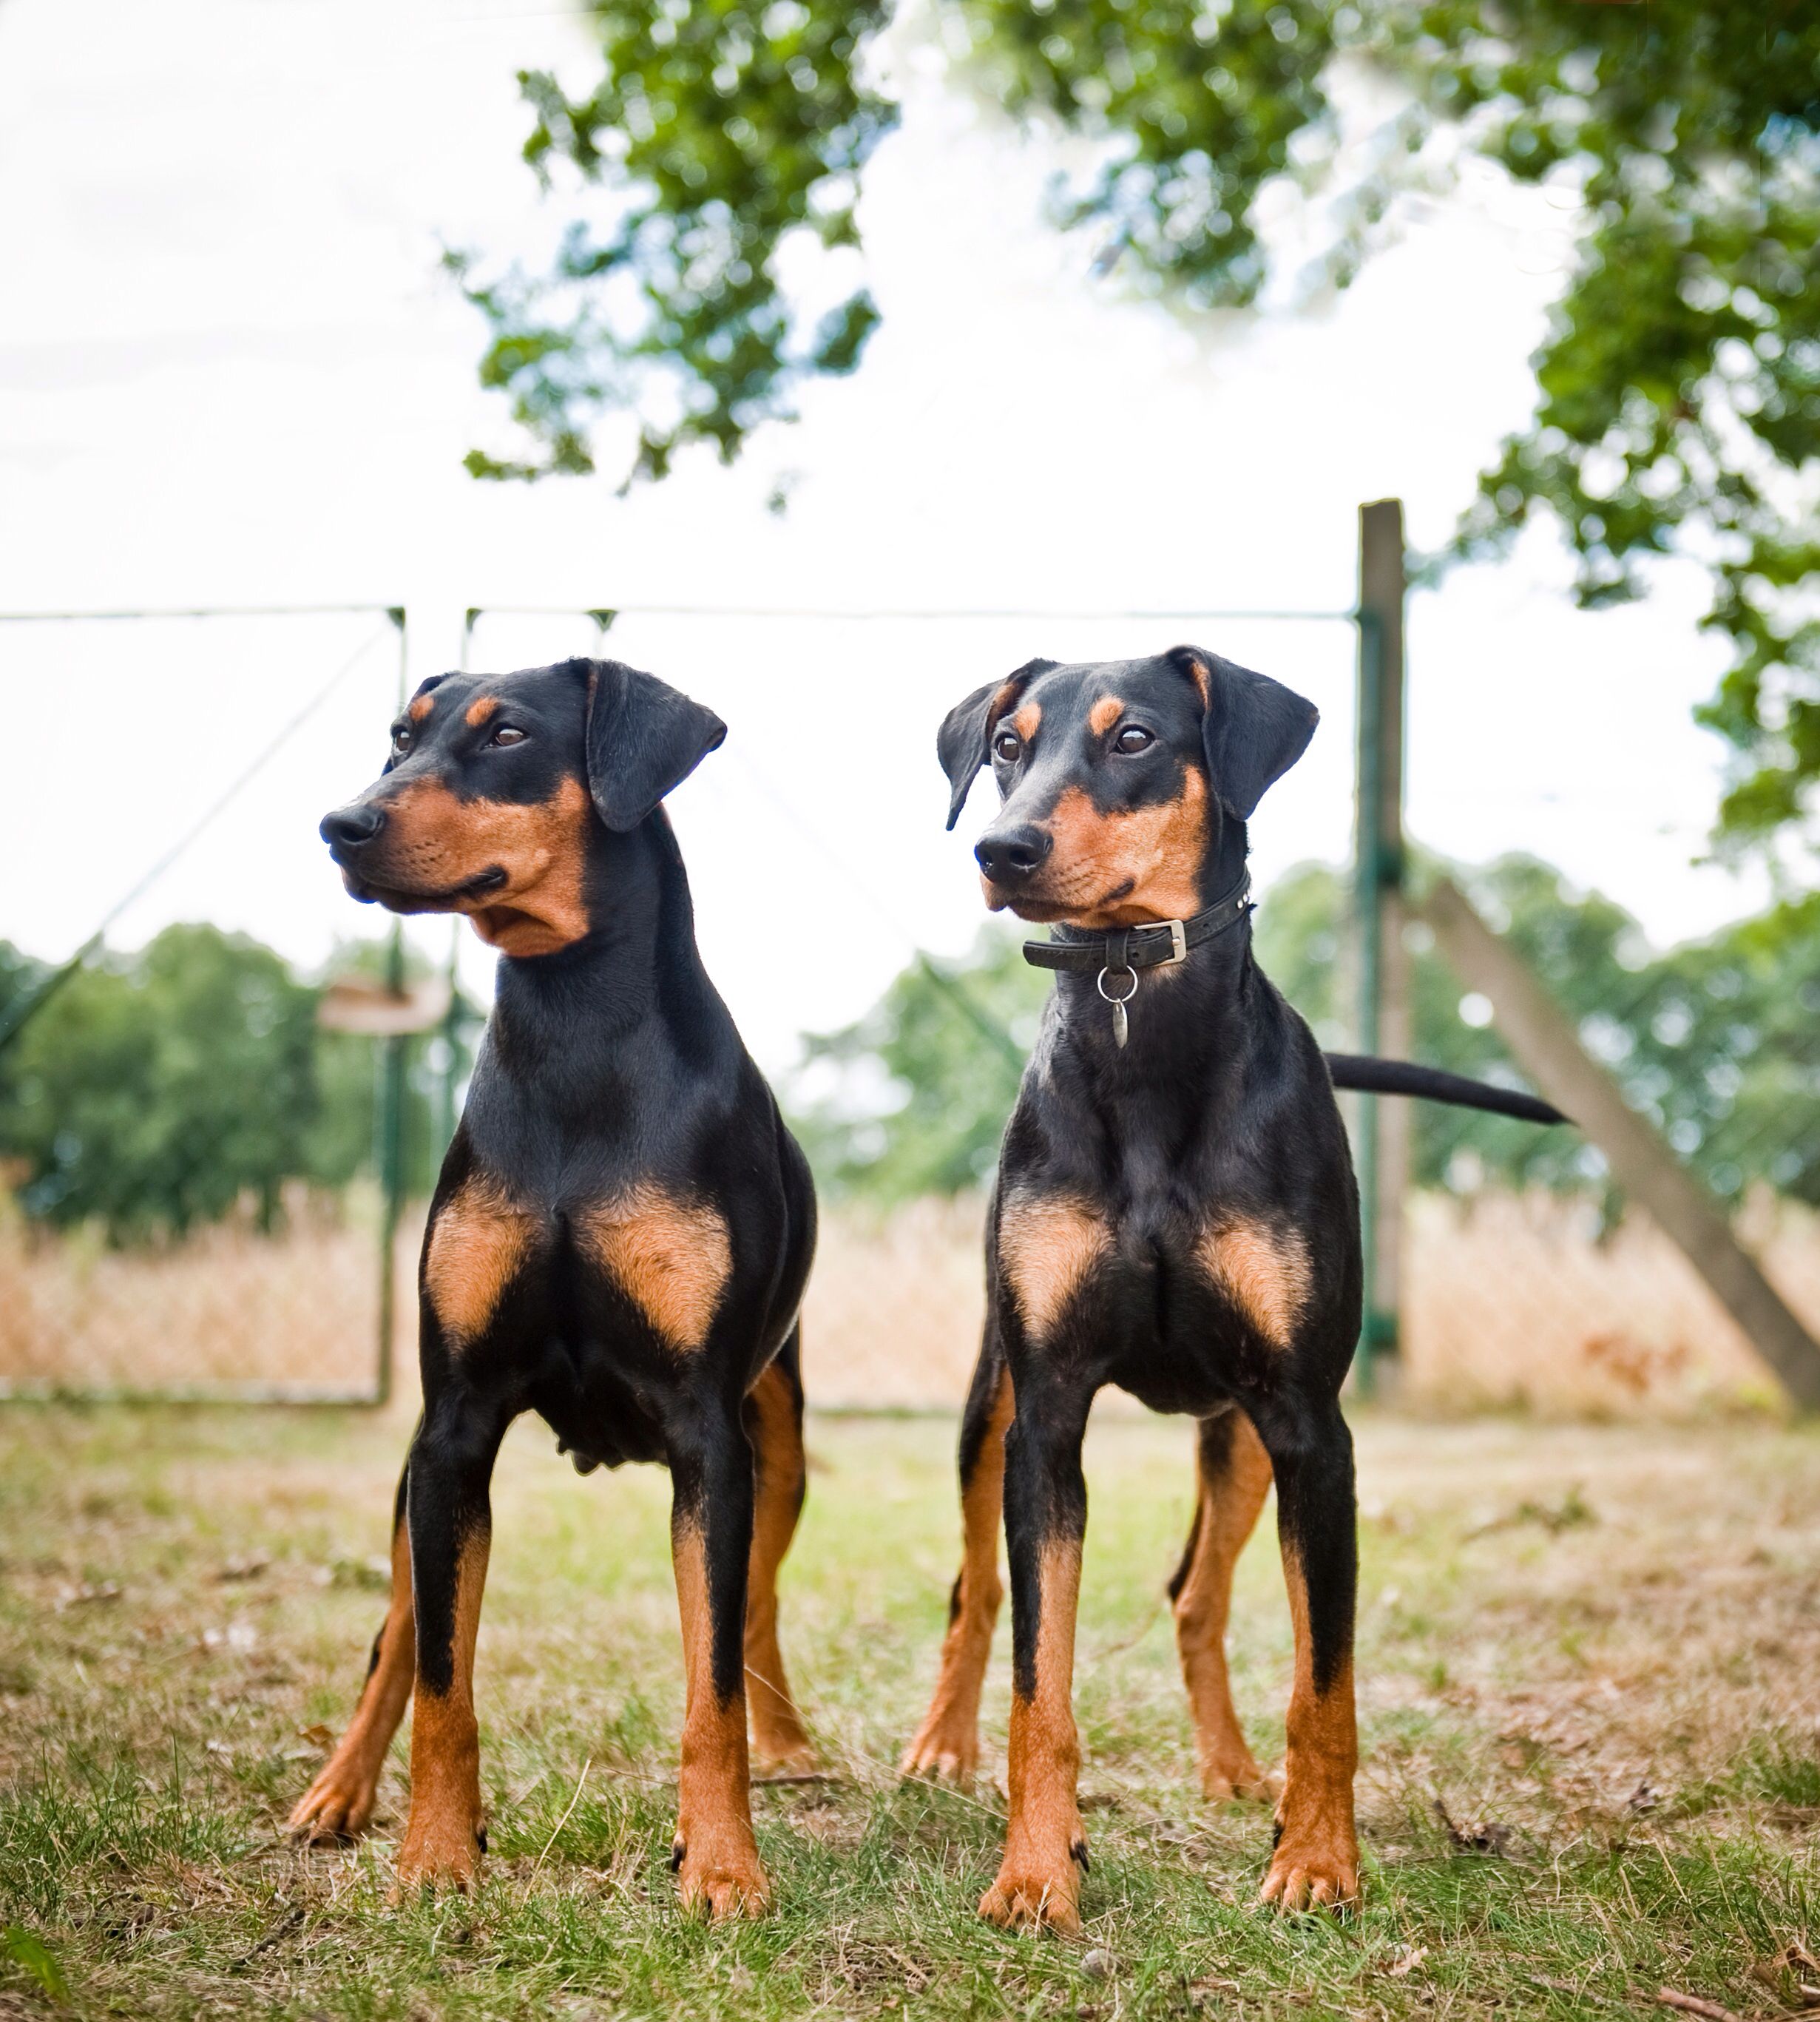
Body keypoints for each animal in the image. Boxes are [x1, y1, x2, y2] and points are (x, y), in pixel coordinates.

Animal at [297, 659, 816, 1908]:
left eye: (508, 735)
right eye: (400, 737)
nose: (342, 824)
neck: (575, 1034)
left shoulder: (708, 1434)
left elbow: (711, 1676)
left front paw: (722, 1865)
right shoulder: (454, 1421)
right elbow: (440, 1671)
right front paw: (435, 1855)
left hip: (779, 1442)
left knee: (756, 1612)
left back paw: (786, 1743)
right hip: (418, 1477)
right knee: (396, 1633)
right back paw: (337, 1791)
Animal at [901, 643, 1553, 1924]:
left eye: (1136, 738)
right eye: (1006, 745)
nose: (1000, 850)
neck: (1136, 1017)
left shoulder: (1309, 1425)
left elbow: (1325, 1683)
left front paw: (1316, 1861)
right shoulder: (1048, 1414)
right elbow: (1039, 1681)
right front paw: (1034, 1870)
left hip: (1243, 1436)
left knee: (1195, 1596)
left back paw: (1233, 1770)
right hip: (989, 1409)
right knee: (975, 1594)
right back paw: (943, 1746)